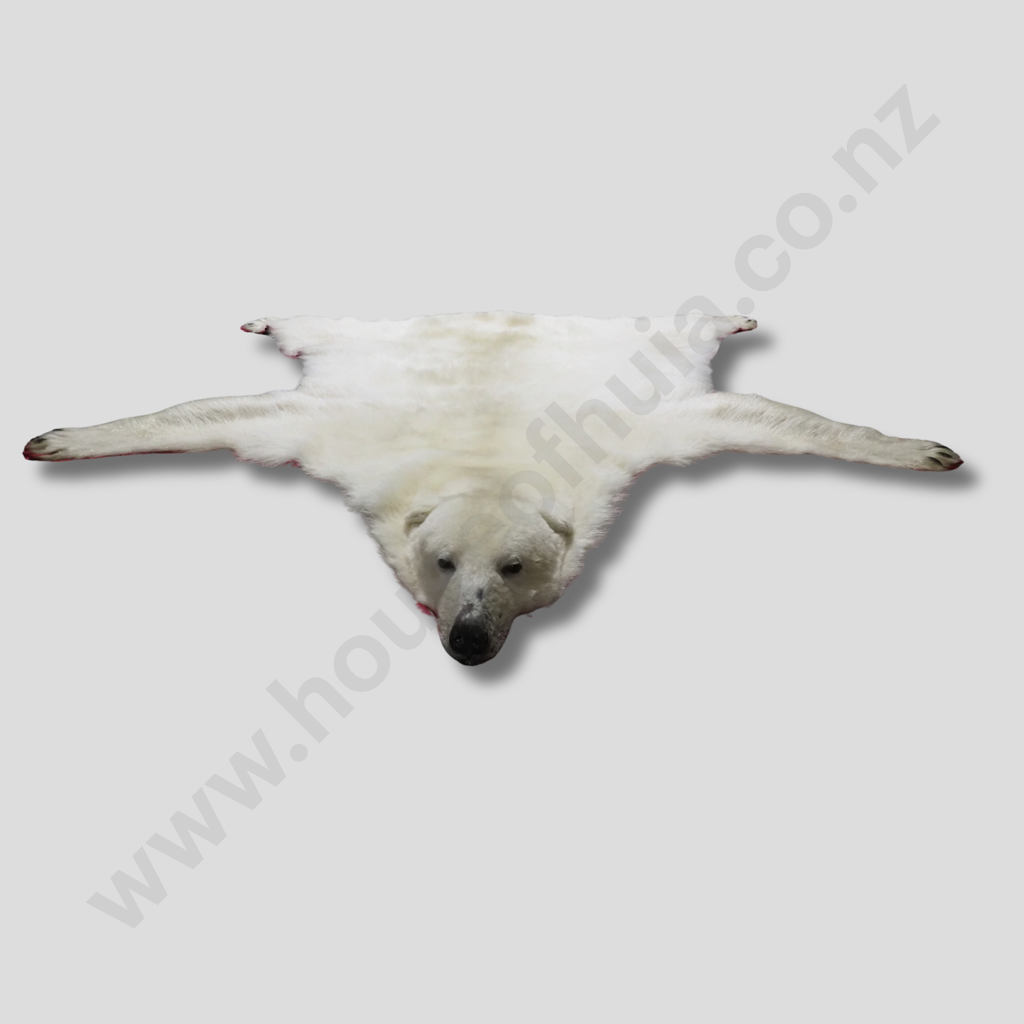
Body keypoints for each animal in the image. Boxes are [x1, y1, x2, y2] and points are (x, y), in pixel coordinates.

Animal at [23, 309, 962, 665]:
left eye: (512, 568)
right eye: (443, 562)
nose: (470, 639)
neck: (486, 455)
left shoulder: (639, 428)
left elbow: (771, 420)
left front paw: (923, 450)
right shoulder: (338, 435)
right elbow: (209, 415)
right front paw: (59, 438)